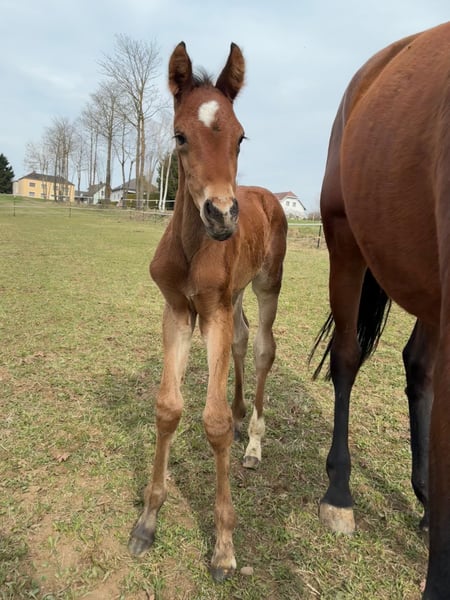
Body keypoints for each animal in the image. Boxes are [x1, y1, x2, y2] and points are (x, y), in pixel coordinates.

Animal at [128, 42, 287, 581]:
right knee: (240, 339)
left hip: (266, 285)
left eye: (240, 137)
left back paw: (254, 441)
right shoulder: (179, 310)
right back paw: (242, 419)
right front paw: (147, 521)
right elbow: (167, 408)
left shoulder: (211, 311)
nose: (222, 216)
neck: (193, 247)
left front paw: (223, 547)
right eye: (180, 136)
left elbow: (212, 423)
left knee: (262, 347)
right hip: (233, 296)